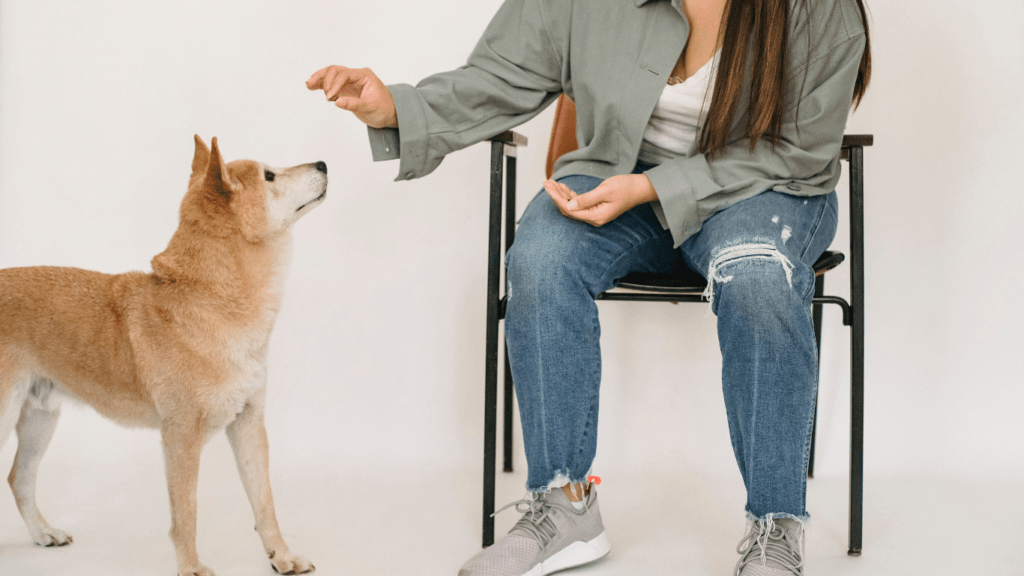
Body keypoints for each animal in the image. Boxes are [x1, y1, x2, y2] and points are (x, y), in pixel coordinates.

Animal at [0, 135, 323, 573]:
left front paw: (282, 556)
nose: (323, 164)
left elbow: (264, 502)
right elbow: (186, 514)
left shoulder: (249, 424)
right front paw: (191, 568)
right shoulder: (180, 436)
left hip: (39, 418)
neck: (210, 302)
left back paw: (43, 534)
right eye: (269, 175)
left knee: (20, 478)